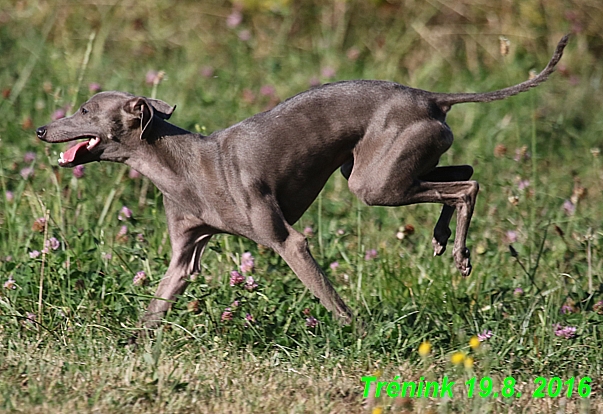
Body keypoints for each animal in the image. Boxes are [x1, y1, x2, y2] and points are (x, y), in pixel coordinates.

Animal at [36, 35, 568, 330]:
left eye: (85, 109)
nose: (41, 129)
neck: (180, 163)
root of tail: (429, 96)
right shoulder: (184, 255)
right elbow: (157, 305)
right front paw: (134, 342)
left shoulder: (288, 240)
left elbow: (330, 298)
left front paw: (359, 337)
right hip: (380, 169)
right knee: (464, 173)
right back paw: (441, 237)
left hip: (373, 184)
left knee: (468, 187)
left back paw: (457, 252)